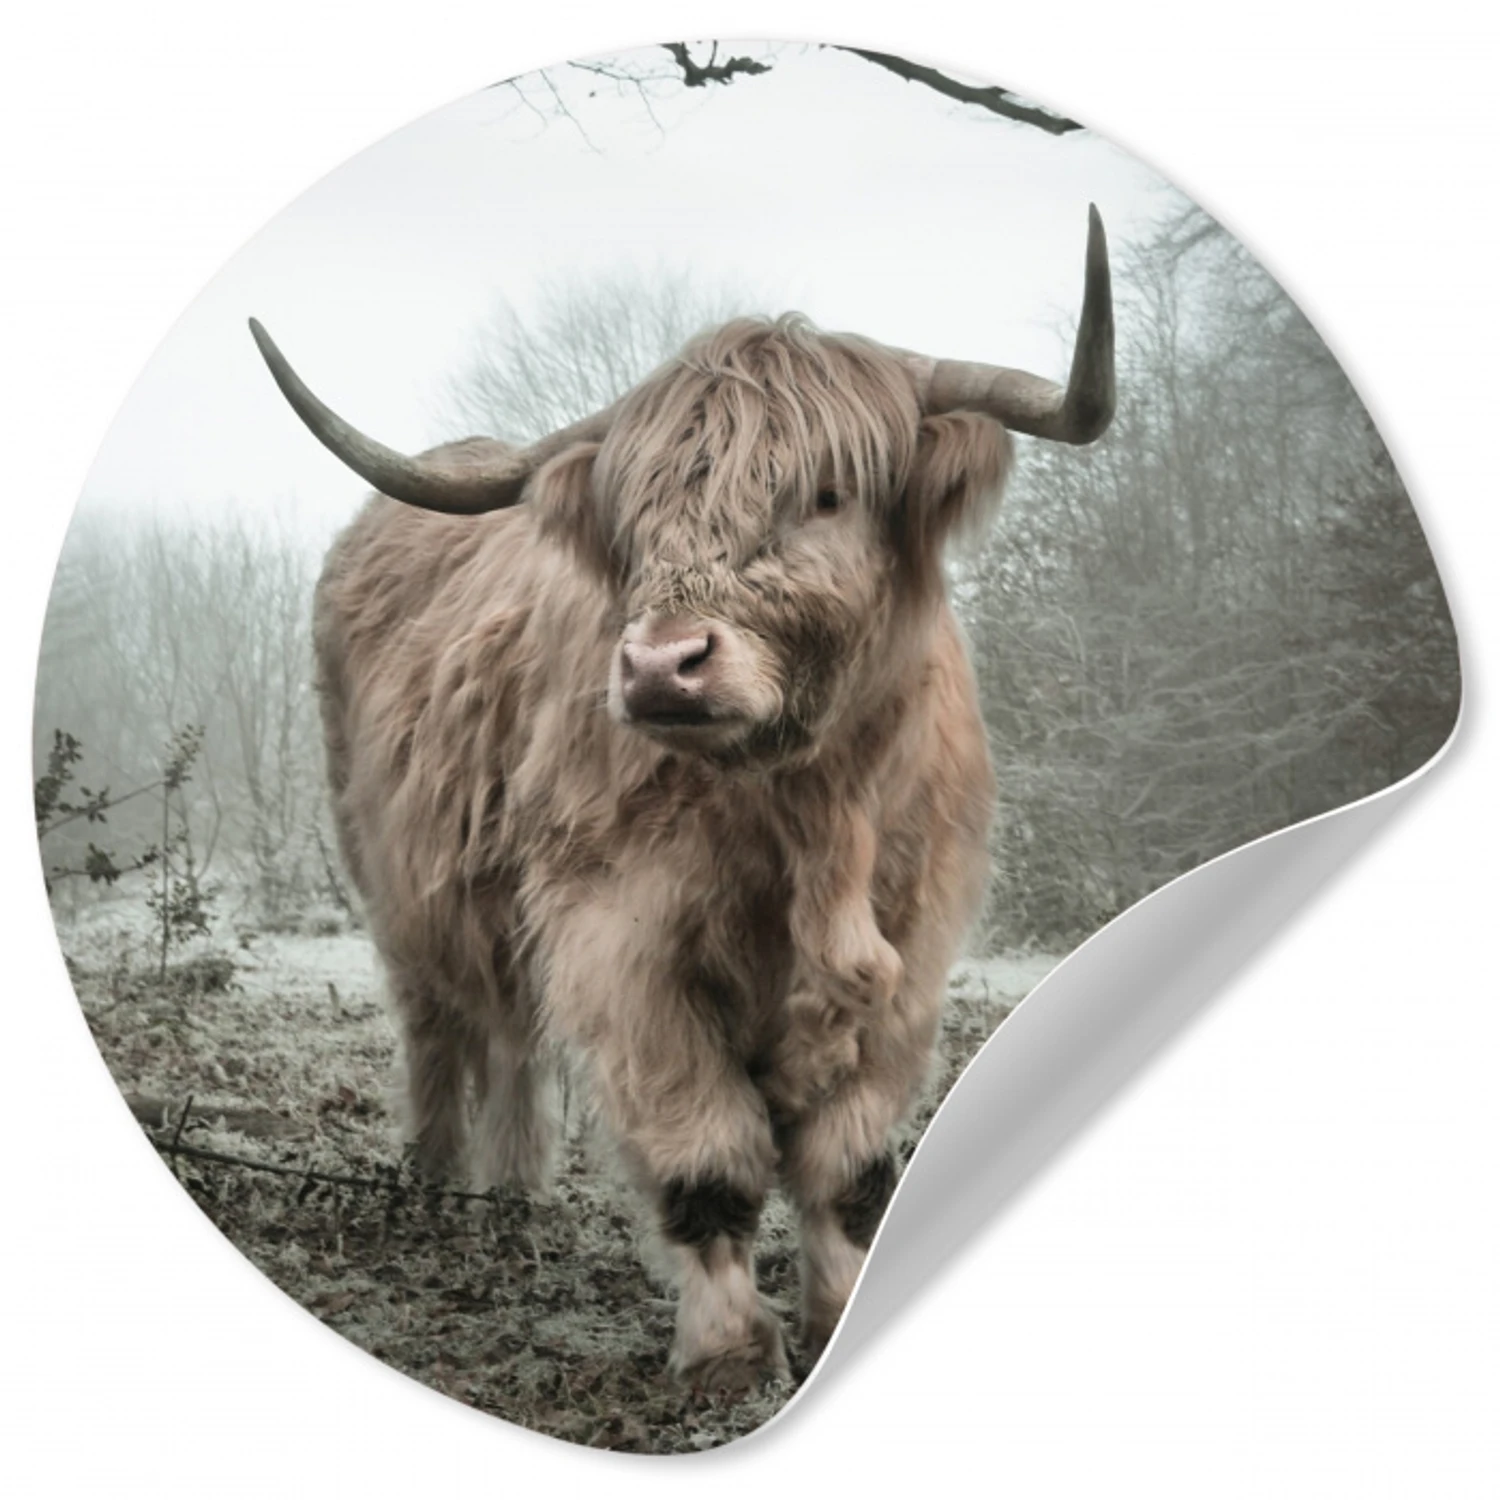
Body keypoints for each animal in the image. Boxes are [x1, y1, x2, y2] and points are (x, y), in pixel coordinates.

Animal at [249, 207, 1114, 1393]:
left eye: (827, 494)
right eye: (638, 517)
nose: (663, 665)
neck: (808, 816)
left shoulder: (912, 948)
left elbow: (849, 1166)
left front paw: (836, 1310)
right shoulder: (623, 942)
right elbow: (708, 1155)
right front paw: (729, 1351)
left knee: (511, 1038)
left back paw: (513, 1199)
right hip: (394, 881)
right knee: (440, 1029)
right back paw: (436, 1190)